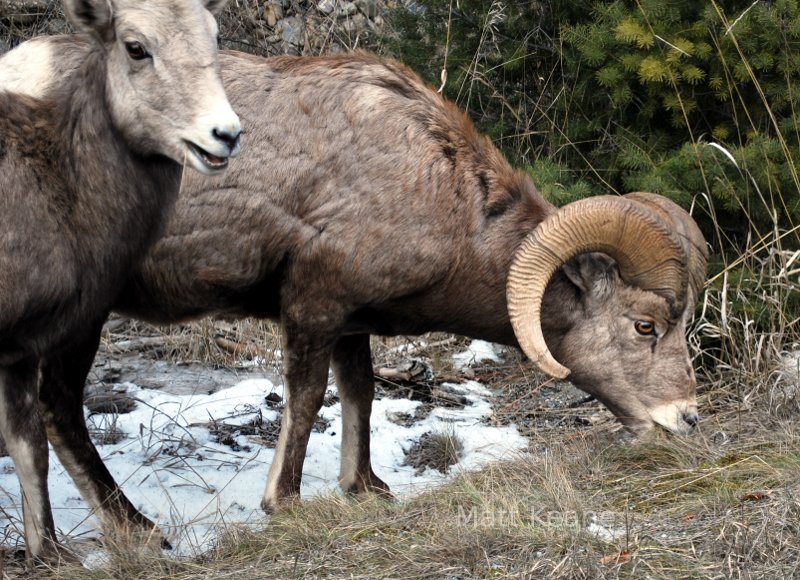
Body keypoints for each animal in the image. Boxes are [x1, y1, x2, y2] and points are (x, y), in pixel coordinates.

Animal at [0, 0, 241, 560]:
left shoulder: (20, 349)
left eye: (214, 35)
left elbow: (28, 446)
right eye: (135, 47)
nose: (224, 134)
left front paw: (48, 555)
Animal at [0, 44, 704, 544]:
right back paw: (136, 531)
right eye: (645, 326)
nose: (685, 420)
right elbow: (309, 399)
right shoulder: (315, 306)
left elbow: (359, 393)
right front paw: (283, 504)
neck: (436, 189)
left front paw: (365, 487)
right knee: (59, 410)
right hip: (81, 317)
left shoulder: (351, 322)